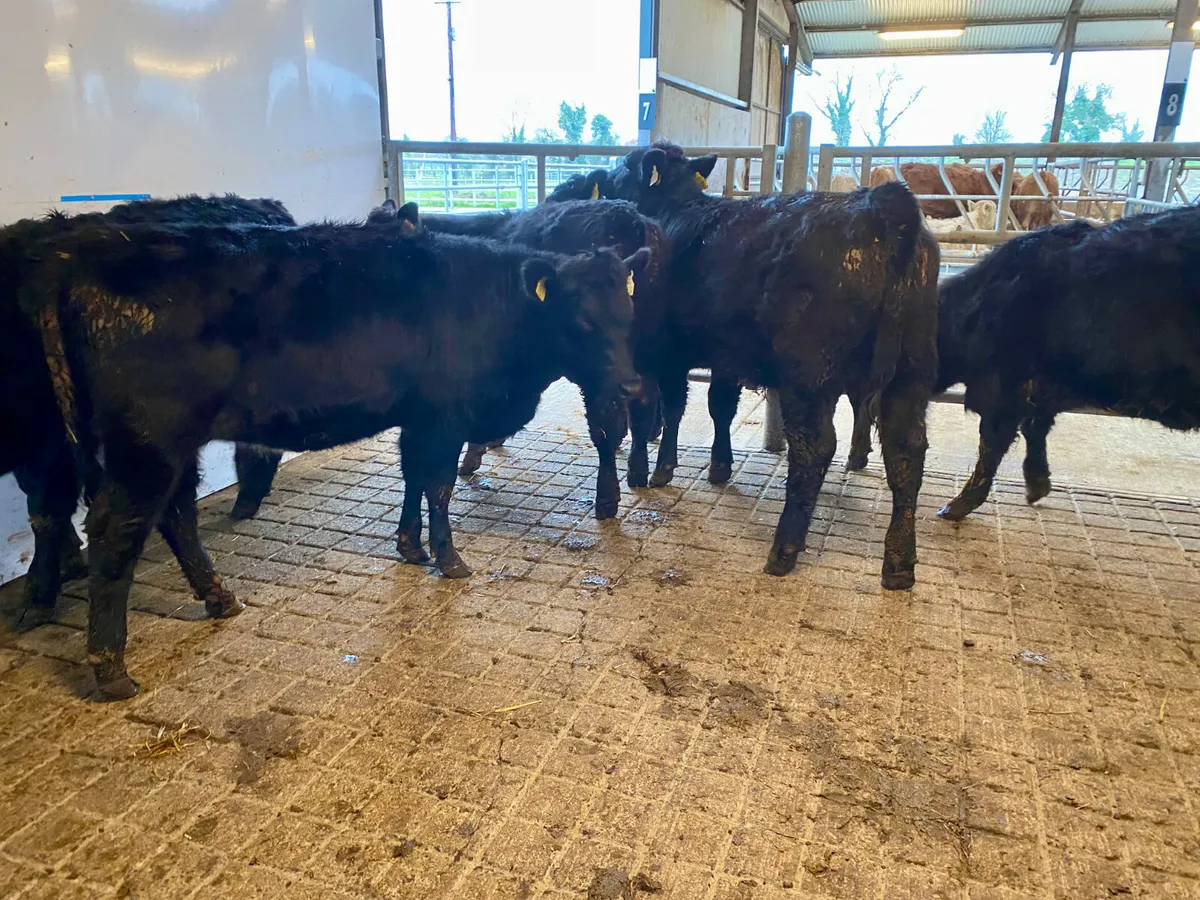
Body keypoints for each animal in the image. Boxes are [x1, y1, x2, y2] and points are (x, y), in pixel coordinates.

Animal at [607, 141, 939, 589]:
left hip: (810, 376)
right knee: (906, 452)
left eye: (625, 167)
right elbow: (719, 407)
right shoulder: (726, 355)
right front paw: (719, 466)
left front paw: (656, 471)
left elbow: (666, 409)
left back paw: (784, 550)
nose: (602, 182)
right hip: (912, 370)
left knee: (816, 448)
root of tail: (879, 203)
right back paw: (899, 563)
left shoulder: (664, 351)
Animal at [934, 207, 1200, 519]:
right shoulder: (1043, 387)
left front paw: (954, 507)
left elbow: (992, 444)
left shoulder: (1005, 386)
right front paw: (1037, 485)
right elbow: (1034, 428)